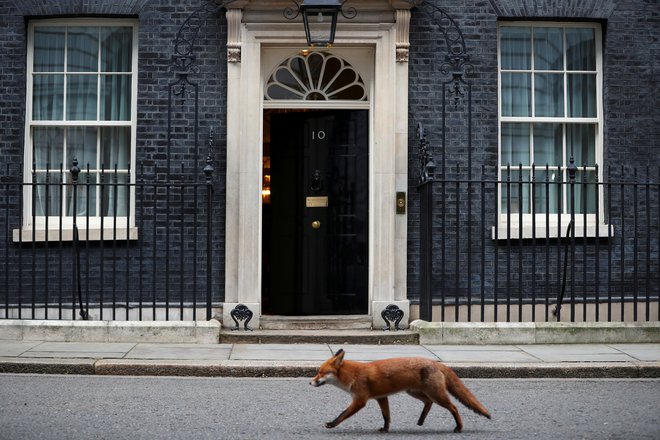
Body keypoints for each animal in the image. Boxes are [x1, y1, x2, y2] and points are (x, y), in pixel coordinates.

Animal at [310, 350, 490, 434]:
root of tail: (435, 362)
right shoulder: (382, 398)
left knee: (453, 407)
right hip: (415, 393)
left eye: (321, 372)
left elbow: (342, 414)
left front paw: (331, 424)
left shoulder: (360, 400)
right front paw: (385, 429)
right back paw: (421, 420)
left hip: (436, 395)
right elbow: (386, 416)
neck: (352, 375)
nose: (310, 382)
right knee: (428, 402)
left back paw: (458, 427)